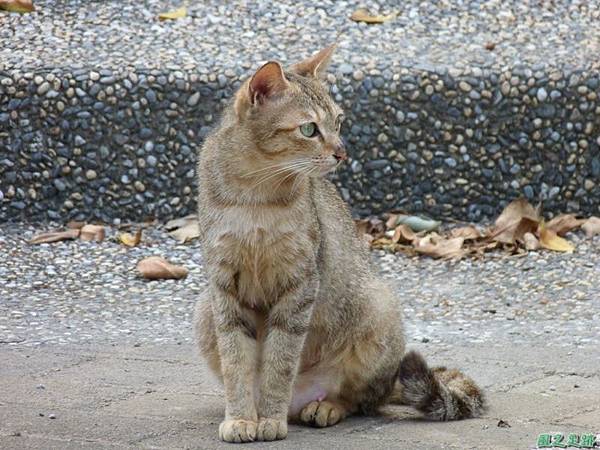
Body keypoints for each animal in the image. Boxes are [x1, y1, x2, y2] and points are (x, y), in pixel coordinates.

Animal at [195, 45, 486, 442]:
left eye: (339, 121)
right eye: (309, 128)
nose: (342, 152)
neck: (256, 195)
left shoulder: (300, 282)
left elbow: (280, 362)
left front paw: (269, 417)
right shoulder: (223, 286)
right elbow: (237, 362)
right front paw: (241, 417)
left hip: (380, 307)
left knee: (364, 399)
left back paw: (325, 406)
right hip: (203, 311)